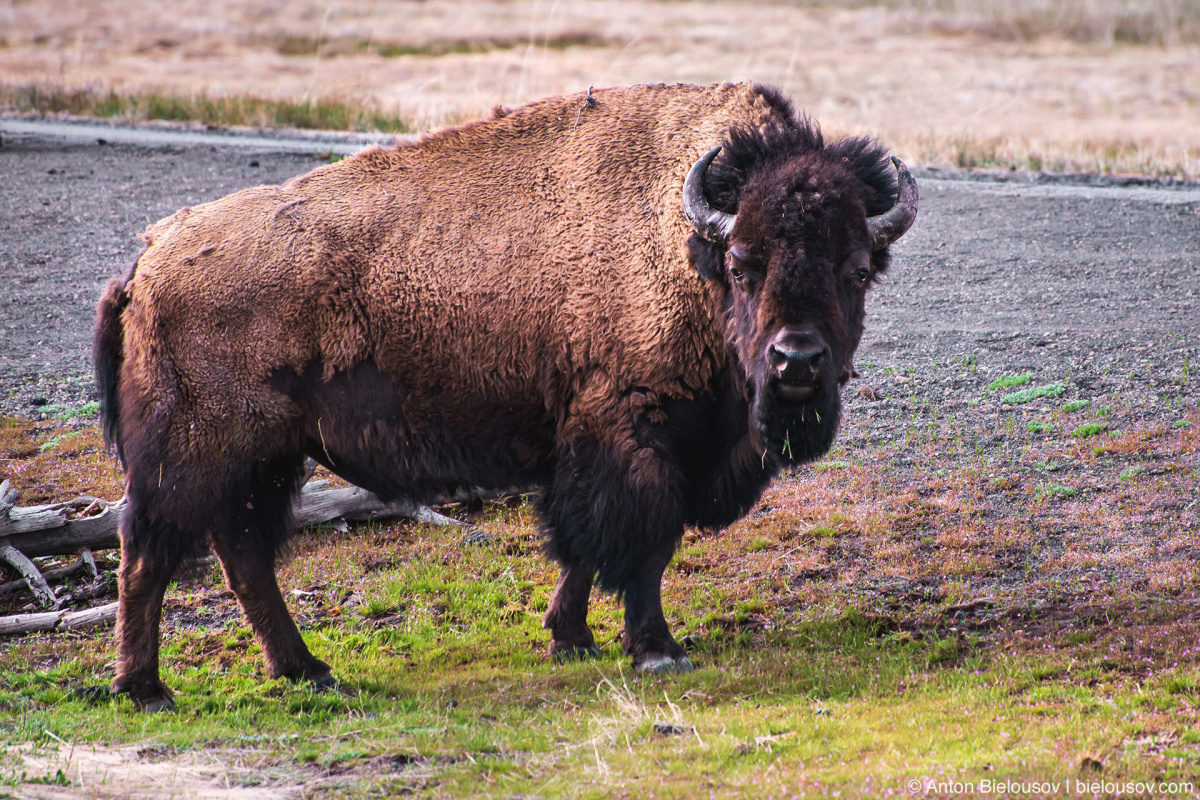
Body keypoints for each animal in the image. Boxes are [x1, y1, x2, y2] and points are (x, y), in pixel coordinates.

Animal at [93, 81, 916, 710]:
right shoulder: (635, 438)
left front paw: (571, 638)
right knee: (149, 552)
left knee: (242, 555)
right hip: (195, 454)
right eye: (744, 263)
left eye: (856, 267)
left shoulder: (610, 447)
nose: (795, 361)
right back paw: (147, 689)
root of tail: (146, 260)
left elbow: (585, 548)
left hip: (265, 459)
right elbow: (640, 542)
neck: (687, 250)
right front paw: (656, 649)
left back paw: (309, 672)